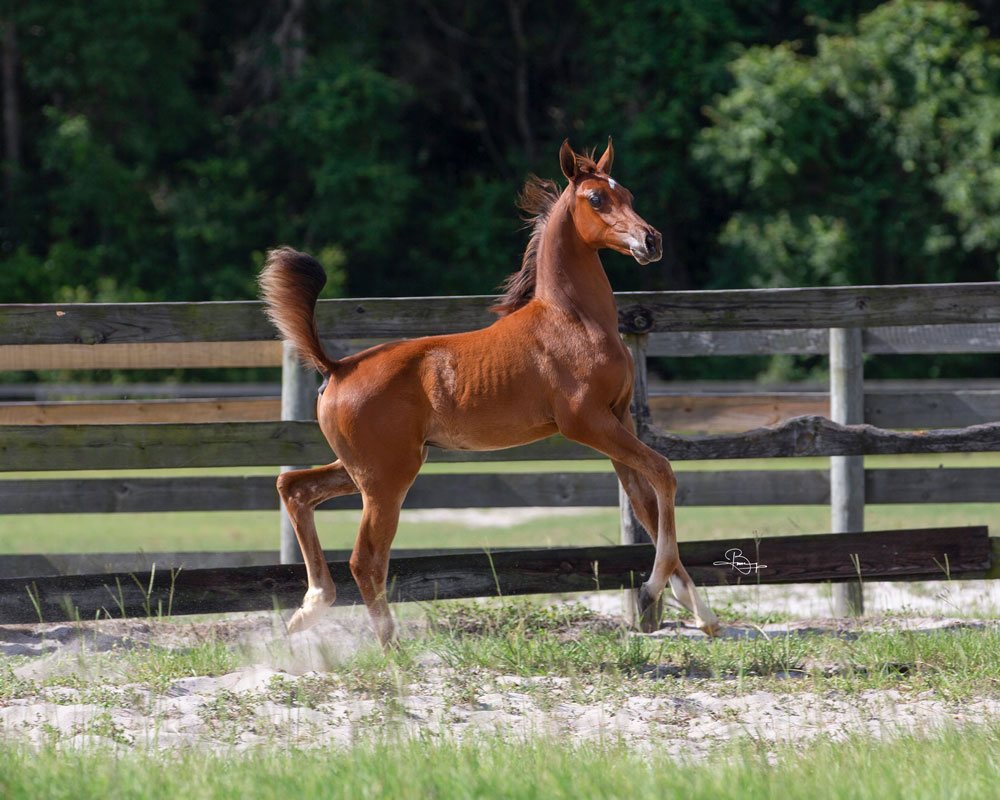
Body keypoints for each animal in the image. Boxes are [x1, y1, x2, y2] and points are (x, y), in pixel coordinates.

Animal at [259, 139, 720, 646]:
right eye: (597, 198)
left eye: (629, 194)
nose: (650, 241)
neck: (574, 320)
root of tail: (337, 368)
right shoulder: (586, 423)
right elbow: (664, 473)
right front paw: (653, 589)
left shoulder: (619, 419)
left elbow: (646, 506)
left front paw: (703, 614)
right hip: (385, 480)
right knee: (366, 559)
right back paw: (391, 650)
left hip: (367, 468)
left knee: (295, 488)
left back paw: (310, 607)